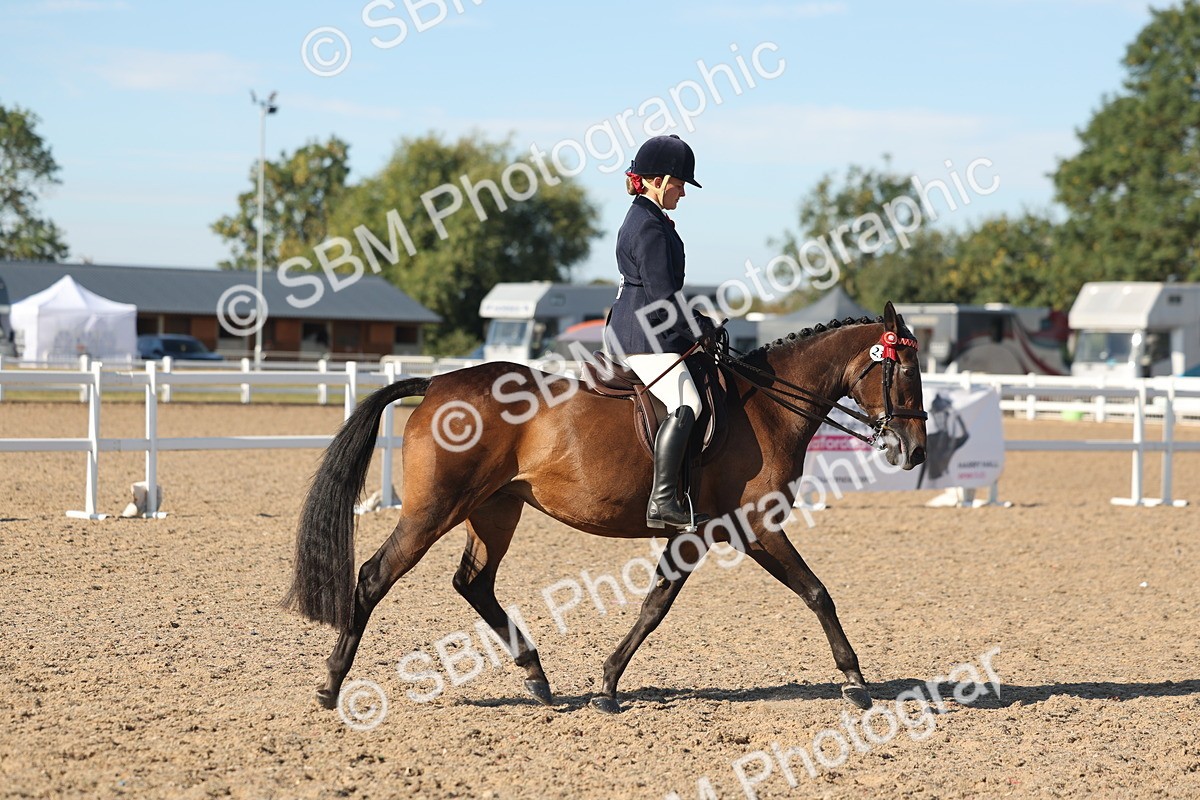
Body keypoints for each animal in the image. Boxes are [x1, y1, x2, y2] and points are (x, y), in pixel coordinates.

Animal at [284, 302, 927, 714]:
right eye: (904, 371)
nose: (915, 450)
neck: (766, 407)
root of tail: (437, 384)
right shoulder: (753, 526)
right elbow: (818, 592)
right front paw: (855, 681)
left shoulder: (695, 534)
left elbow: (655, 605)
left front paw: (608, 684)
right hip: (434, 510)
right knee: (374, 576)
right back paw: (331, 686)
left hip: (495, 510)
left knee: (473, 583)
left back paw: (538, 678)